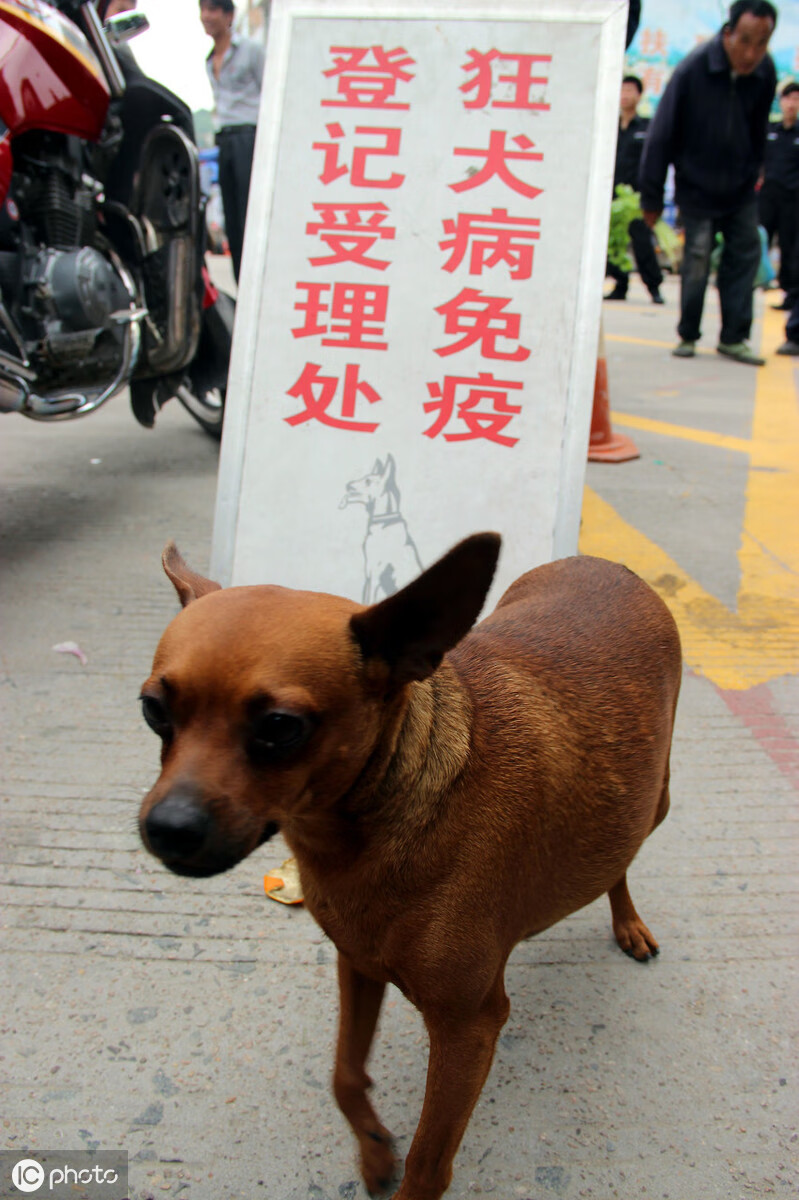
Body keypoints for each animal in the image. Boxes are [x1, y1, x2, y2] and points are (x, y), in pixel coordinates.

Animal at [138, 535, 676, 1200]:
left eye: (281, 727)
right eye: (152, 711)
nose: (166, 828)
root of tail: (605, 563)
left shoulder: (468, 1030)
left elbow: (427, 1164)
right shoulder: (357, 966)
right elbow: (344, 1076)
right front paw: (373, 1151)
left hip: (654, 802)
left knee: (621, 859)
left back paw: (629, 924)